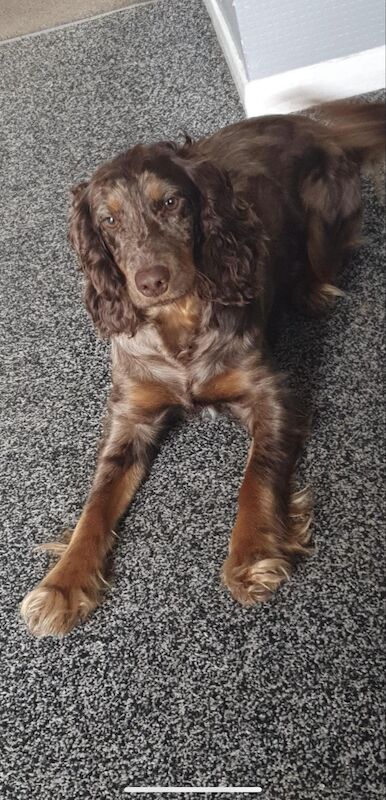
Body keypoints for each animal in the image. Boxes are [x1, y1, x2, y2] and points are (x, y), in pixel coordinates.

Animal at [21, 101, 386, 636]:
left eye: (172, 202)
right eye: (108, 219)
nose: (151, 280)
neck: (179, 322)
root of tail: (315, 125)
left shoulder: (271, 397)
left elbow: (256, 477)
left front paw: (251, 554)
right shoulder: (131, 419)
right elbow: (96, 503)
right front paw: (62, 584)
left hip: (325, 209)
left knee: (324, 257)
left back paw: (312, 290)